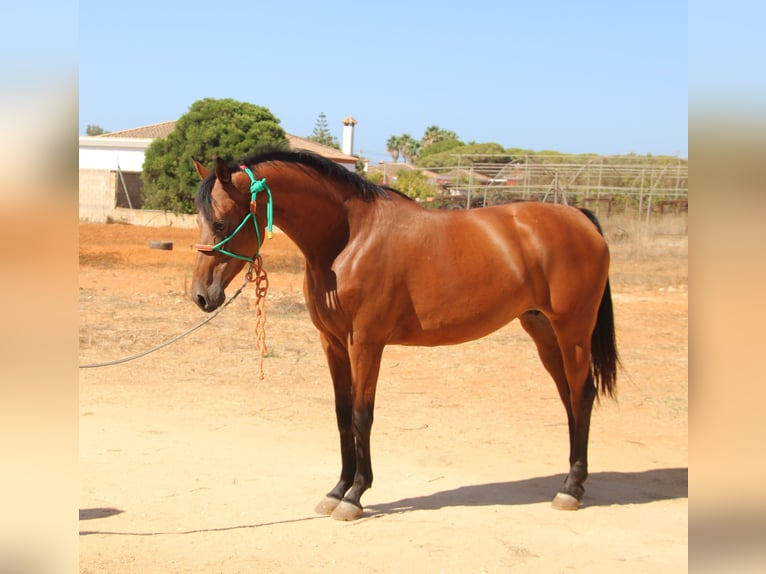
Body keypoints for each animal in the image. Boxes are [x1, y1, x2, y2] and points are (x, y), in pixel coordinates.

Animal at [190, 146, 616, 524]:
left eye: (221, 223)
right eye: (199, 222)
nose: (200, 295)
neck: (349, 238)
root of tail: (580, 218)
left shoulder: (366, 342)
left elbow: (362, 416)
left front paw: (355, 496)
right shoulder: (333, 343)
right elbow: (342, 414)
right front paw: (337, 490)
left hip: (573, 331)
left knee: (582, 396)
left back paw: (571, 489)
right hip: (543, 330)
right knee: (568, 398)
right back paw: (570, 481)